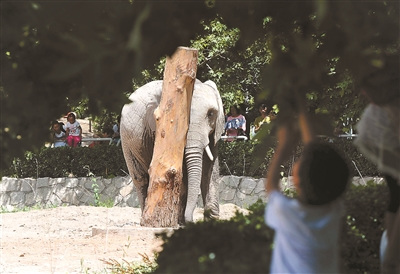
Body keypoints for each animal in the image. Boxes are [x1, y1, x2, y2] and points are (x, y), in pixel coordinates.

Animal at [120, 78, 225, 224]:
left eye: (211, 114)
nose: (191, 221)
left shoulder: (214, 131)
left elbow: (210, 168)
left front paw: (212, 221)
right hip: (126, 139)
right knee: (140, 177)